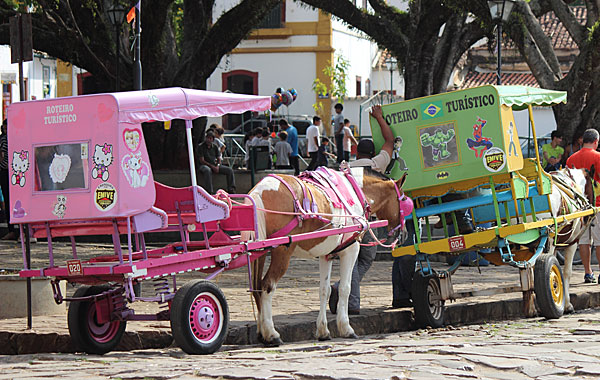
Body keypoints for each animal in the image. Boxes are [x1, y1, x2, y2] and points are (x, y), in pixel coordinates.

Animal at [244, 168, 408, 346]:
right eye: (404, 200)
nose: (405, 234)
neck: (355, 191)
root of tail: (259, 191)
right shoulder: (351, 250)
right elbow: (345, 288)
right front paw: (346, 328)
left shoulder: (326, 255)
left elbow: (324, 290)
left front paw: (323, 331)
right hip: (282, 252)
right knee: (267, 286)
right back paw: (271, 334)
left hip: (259, 252)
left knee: (257, 288)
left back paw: (261, 333)